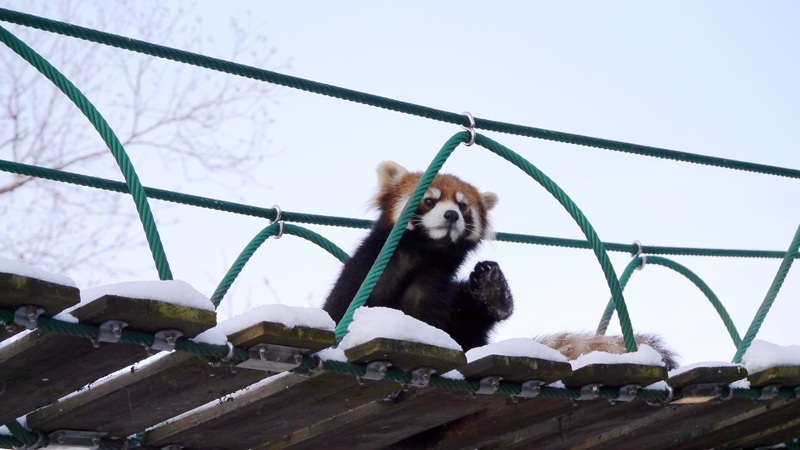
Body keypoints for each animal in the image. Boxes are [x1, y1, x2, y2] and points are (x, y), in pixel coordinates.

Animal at [324, 160, 516, 350]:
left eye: (462, 206)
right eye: (429, 200)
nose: (452, 214)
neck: (420, 253)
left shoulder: (433, 287)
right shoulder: (361, 274)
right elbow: (337, 309)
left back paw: (493, 290)